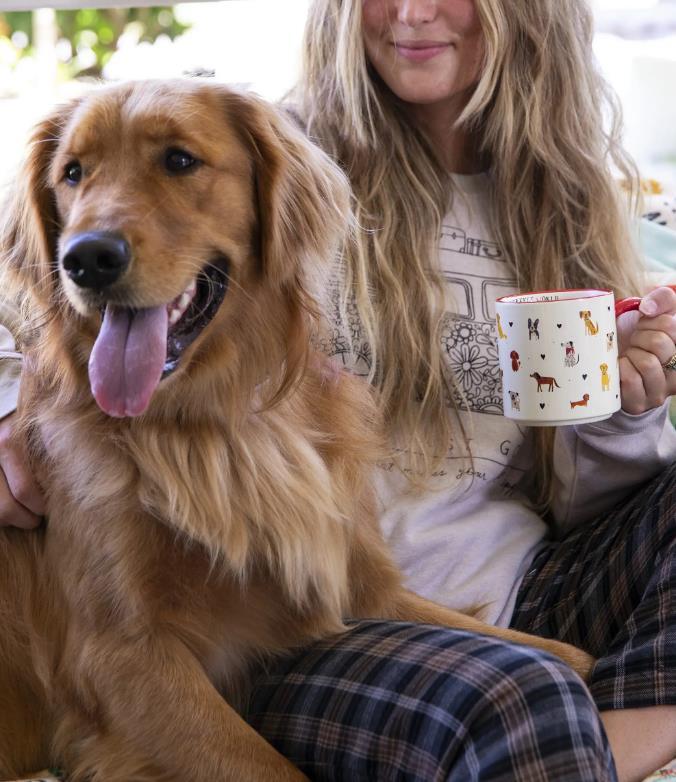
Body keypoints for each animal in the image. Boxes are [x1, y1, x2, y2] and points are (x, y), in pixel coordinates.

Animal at [0, 81, 592, 782]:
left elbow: (558, 654)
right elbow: (271, 767)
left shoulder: (356, 582)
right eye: (72, 174)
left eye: (179, 160)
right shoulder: (122, 657)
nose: (86, 258)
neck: (213, 423)